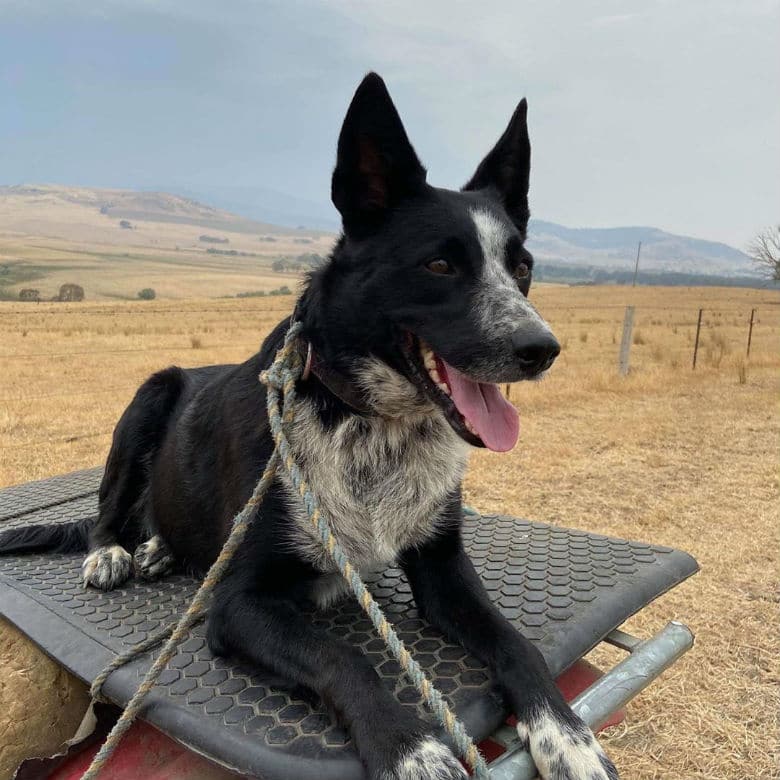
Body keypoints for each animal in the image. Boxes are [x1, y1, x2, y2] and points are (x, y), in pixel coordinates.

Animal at [3, 73, 620, 780]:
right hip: (149, 396)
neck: (371, 422)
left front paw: (566, 735)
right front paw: (410, 750)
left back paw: (158, 547)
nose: (541, 348)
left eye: (522, 268)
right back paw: (115, 552)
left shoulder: (443, 568)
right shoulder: (239, 605)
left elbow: (518, 643)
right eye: (439, 265)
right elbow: (342, 657)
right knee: (109, 511)